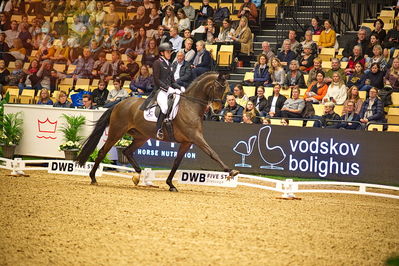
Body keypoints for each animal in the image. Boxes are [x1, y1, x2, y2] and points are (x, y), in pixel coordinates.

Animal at [77, 71, 239, 190]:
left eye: (227, 90)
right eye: (218, 88)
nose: (217, 110)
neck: (190, 106)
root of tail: (118, 104)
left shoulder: (187, 142)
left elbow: (176, 162)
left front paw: (171, 184)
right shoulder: (195, 137)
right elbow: (213, 153)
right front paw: (231, 171)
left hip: (141, 137)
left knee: (127, 152)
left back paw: (138, 175)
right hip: (116, 133)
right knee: (103, 151)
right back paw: (93, 178)